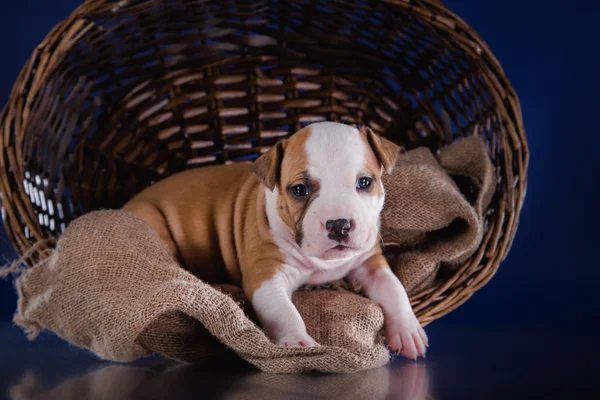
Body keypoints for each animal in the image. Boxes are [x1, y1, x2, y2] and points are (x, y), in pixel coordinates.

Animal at [124, 122, 428, 360]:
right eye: (299, 189)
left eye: (365, 182)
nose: (338, 225)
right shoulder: (266, 277)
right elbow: (284, 311)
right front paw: (296, 342)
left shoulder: (369, 261)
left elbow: (393, 288)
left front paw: (408, 330)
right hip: (151, 223)